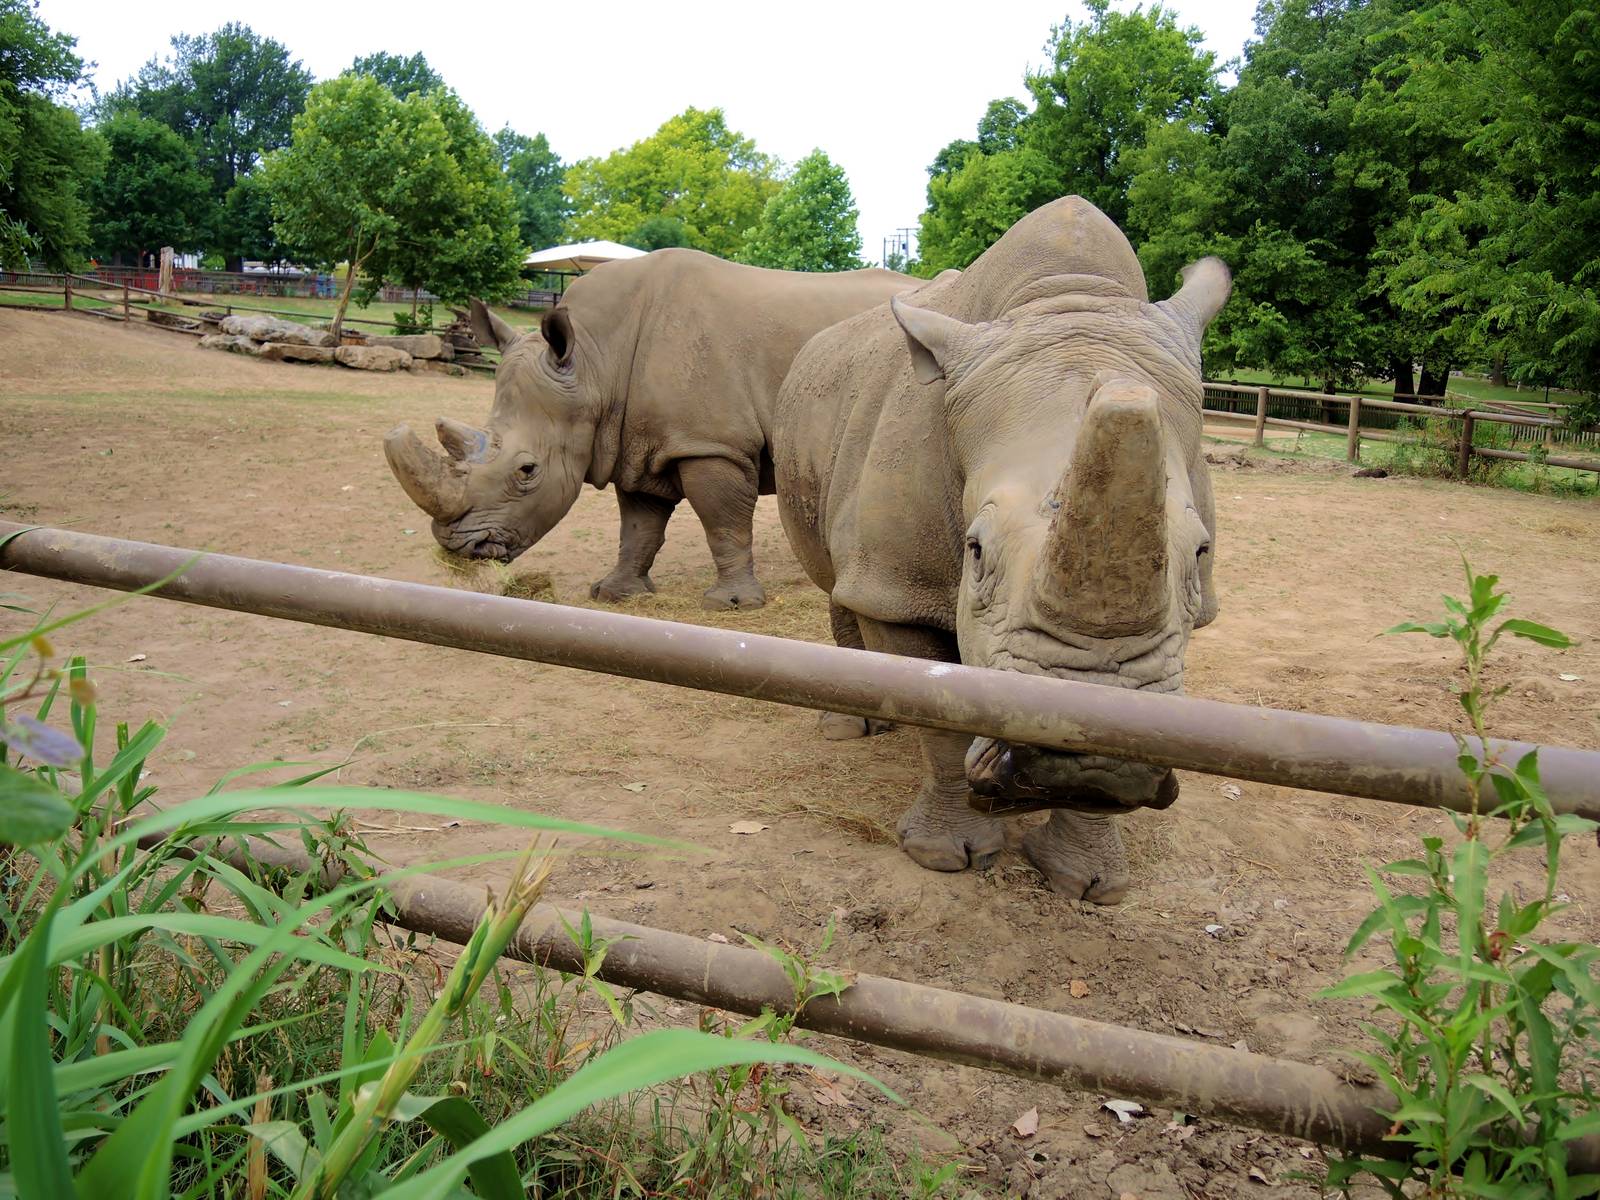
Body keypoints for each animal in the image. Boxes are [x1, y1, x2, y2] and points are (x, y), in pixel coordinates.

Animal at [384, 249, 917, 610]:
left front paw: (732, 605)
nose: (458, 547)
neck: (596, 362)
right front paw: (614, 594)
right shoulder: (634, 441)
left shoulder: (710, 444)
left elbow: (723, 521)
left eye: (527, 471)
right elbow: (638, 526)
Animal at [772, 197, 1230, 903]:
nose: (1082, 763)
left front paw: (1088, 881)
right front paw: (947, 856)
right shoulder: (899, 583)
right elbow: (937, 711)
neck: (1064, 300)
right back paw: (855, 726)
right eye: (977, 551)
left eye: (1201, 555)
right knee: (843, 580)